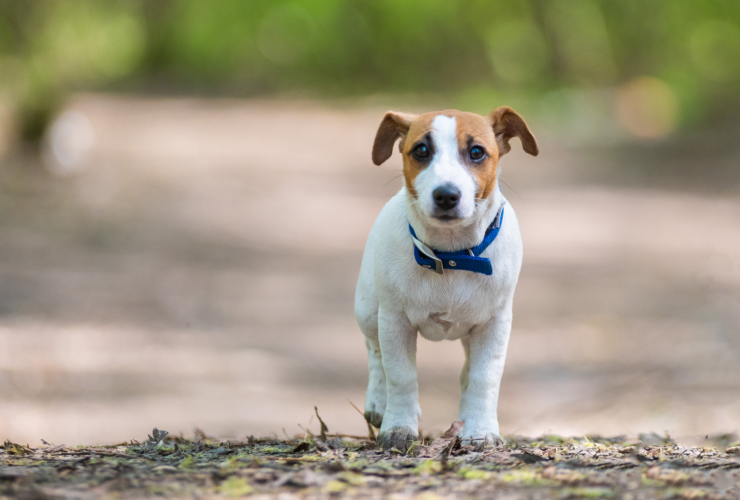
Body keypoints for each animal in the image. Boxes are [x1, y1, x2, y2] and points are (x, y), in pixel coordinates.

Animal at [354, 107, 536, 452]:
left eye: (477, 152)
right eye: (421, 150)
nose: (447, 195)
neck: (452, 255)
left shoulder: (495, 324)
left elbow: (484, 377)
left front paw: (480, 429)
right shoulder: (395, 321)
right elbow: (399, 374)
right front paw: (398, 426)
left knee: (467, 372)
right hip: (369, 309)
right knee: (374, 350)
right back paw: (377, 403)